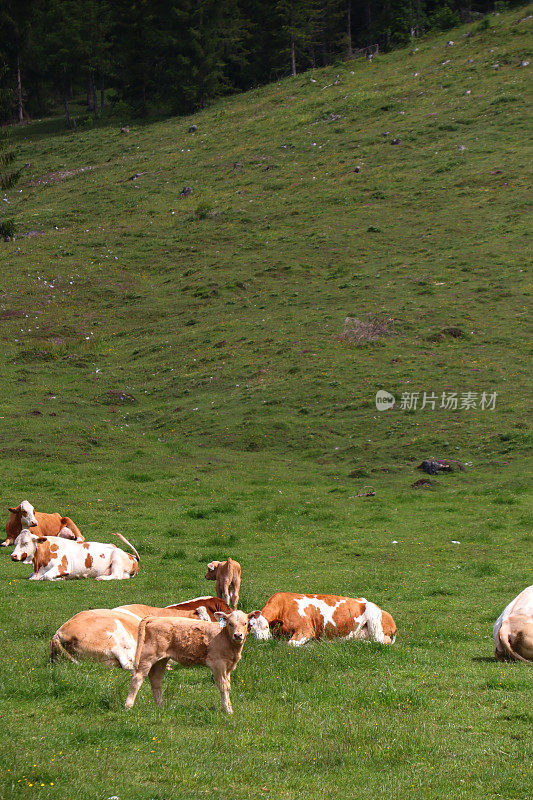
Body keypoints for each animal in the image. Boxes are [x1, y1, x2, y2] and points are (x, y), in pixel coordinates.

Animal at [11, 532, 139, 580]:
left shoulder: (62, 566)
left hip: (116, 557)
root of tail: (131, 556)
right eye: (16, 542)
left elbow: (46, 576)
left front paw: (60, 578)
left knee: (116, 575)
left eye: (25, 543)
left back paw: (100, 577)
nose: (13, 556)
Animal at [124, 608, 258, 716]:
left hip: (161, 660)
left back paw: (160, 706)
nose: (238, 635)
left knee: (156, 680)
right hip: (147, 657)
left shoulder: (229, 667)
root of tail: (154, 618)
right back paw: (128, 706)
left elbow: (228, 686)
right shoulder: (217, 664)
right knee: (137, 678)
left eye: (245, 623)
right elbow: (223, 686)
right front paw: (228, 710)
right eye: (230, 623)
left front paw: (229, 708)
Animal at [246, 592, 394, 648]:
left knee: (380, 641)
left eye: (266, 626)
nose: (261, 640)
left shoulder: (306, 630)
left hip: (374, 617)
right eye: (251, 628)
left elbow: (290, 643)